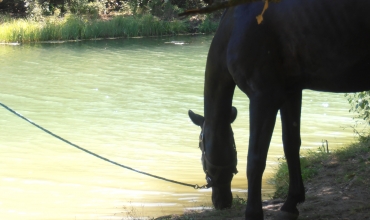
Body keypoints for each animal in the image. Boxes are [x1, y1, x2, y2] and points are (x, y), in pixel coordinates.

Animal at [188, 0, 370, 219]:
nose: (221, 202)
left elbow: (255, 159)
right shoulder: (290, 93)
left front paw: (253, 212)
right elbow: (291, 145)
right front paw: (292, 202)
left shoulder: (263, 97)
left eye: (201, 147)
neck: (236, 26)